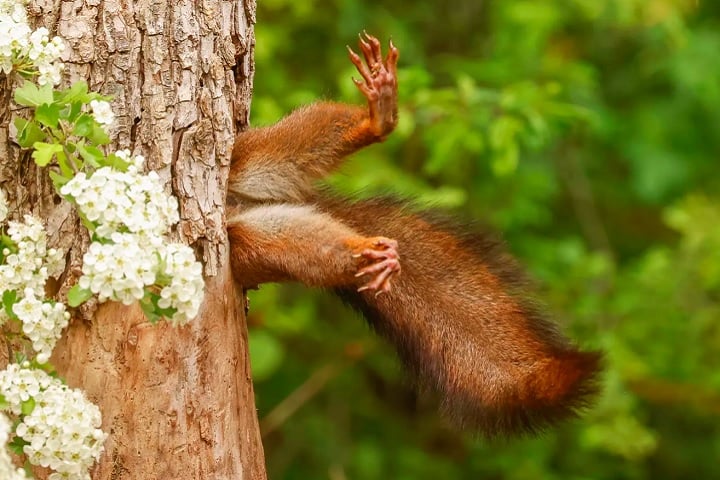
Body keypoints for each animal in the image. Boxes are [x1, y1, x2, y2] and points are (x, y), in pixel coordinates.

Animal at [226, 32, 600, 438]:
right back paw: (367, 254)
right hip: (250, 243)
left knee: (292, 144)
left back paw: (377, 118)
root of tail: (238, 205)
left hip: (246, 157)